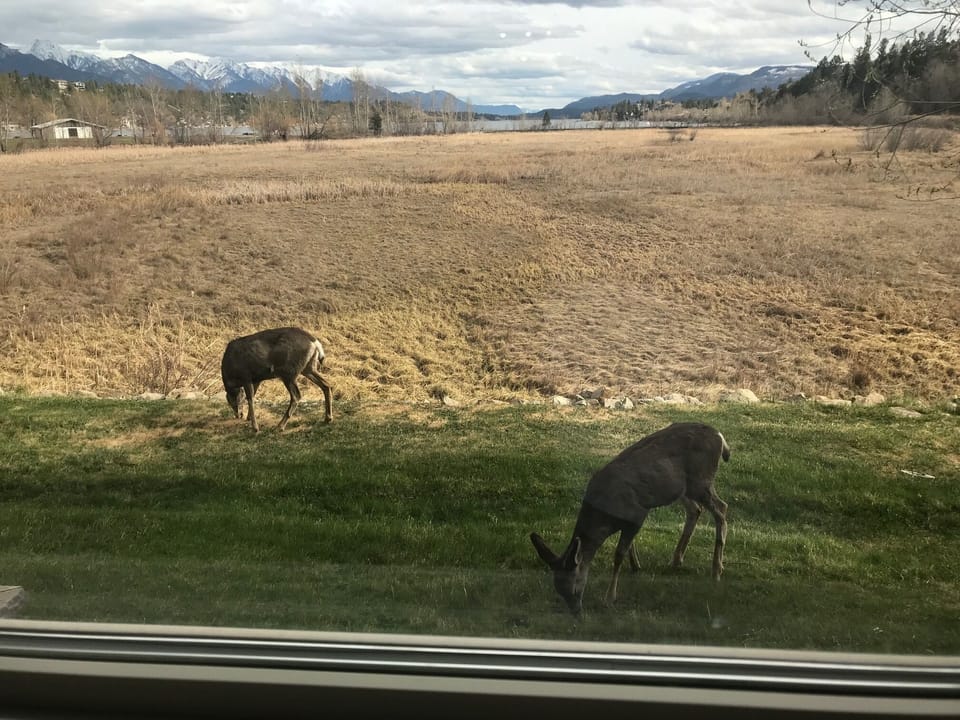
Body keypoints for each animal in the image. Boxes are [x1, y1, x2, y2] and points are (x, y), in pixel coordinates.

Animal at [530, 422, 730, 614]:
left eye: (573, 588)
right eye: (558, 589)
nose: (575, 611)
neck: (605, 517)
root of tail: (720, 436)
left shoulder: (638, 512)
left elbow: (619, 554)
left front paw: (610, 597)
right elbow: (629, 546)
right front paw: (635, 566)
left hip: (700, 480)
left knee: (721, 508)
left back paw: (716, 571)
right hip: (682, 488)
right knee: (696, 510)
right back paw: (676, 560)